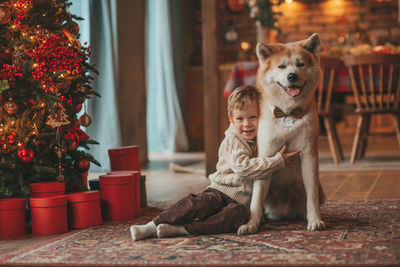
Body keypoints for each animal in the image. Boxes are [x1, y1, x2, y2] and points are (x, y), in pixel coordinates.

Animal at [238, 33, 324, 234]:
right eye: (282, 66)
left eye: (301, 64)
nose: (292, 76)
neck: (288, 113)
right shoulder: (266, 156)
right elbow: (256, 200)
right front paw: (251, 224)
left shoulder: (309, 155)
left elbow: (312, 196)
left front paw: (315, 220)